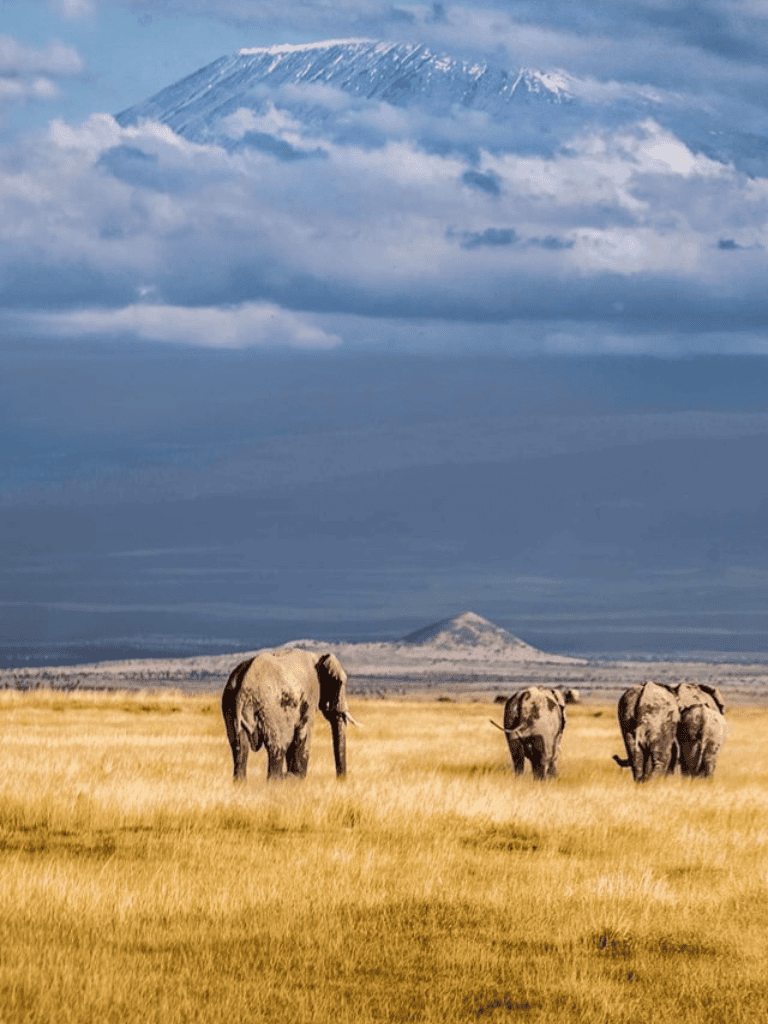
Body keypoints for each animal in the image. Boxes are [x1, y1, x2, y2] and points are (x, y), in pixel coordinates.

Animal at [221, 648, 357, 781]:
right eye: (340, 683)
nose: (340, 780)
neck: (318, 656)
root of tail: (244, 684)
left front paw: (295, 777)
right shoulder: (310, 697)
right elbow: (303, 733)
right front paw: (297, 777)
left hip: (230, 705)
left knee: (239, 747)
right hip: (272, 709)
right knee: (277, 746)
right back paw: (279, 780)